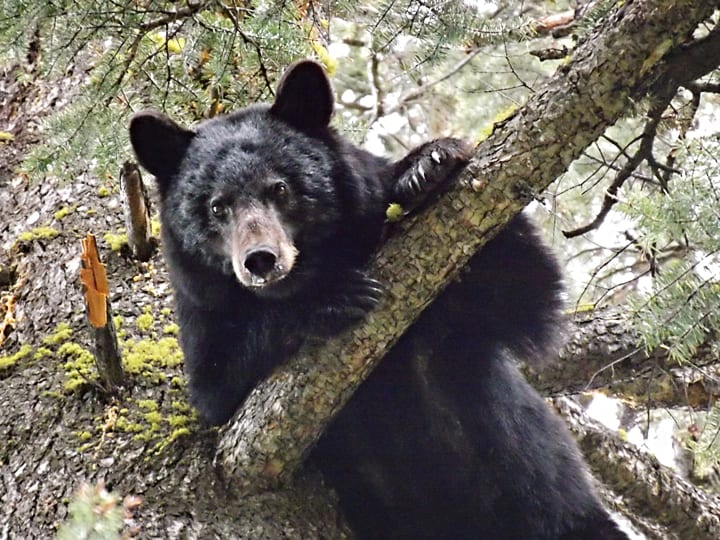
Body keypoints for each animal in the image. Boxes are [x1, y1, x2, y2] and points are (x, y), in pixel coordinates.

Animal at [129, 60, 629, 539]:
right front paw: (330, 297)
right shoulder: (204, 313)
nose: (260, 260)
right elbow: (216, 388)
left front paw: (427, 165)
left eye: (280, 188)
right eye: (217, 206)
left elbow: (525, 291)